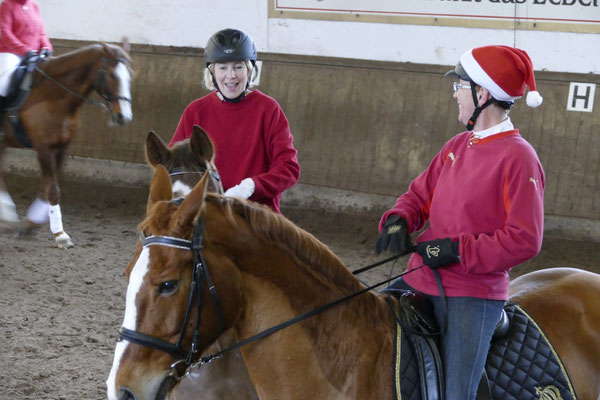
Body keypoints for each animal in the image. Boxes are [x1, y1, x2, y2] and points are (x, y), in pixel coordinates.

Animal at [0, 40, 132, 247]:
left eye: (130, 76)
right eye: (112, 75)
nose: (124, 116)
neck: (53, 95)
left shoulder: (61, 147)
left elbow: (49, 186)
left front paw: (31, 224)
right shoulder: (44, 148)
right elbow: (53, 190)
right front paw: (60, 234)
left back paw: (6, 218)